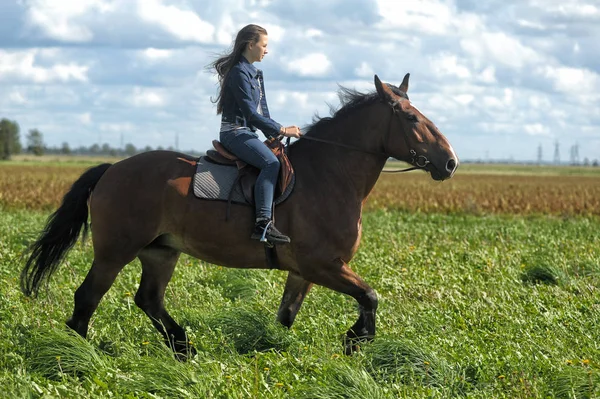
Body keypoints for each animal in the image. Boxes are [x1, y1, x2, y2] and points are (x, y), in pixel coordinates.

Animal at [21, 74, 458, 356]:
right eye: (411, 118)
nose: (450, 162)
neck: (330, 173)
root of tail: (111, 169)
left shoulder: (305, 272)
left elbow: (286, 315)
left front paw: (275, 347)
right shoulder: (322, 265)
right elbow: (370, 296)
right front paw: (357, 340)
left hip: (161, 251)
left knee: (149, 299)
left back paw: (184, 348)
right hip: (115, 251)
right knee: (88, 297)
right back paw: (78, 355)